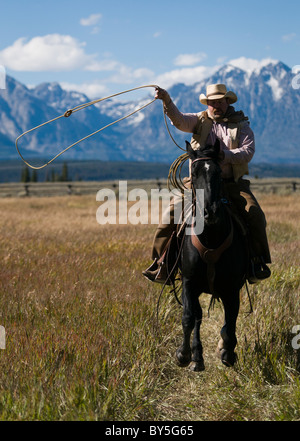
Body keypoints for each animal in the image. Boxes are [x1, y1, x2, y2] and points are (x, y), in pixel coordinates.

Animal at [176, 139, 246, 370]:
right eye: (194, 172)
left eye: (218, 172)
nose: (211, 212)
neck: (211, 236)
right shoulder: (189, 282)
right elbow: (188, 317)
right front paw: (183, 355)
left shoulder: (232, 287)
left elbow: (231, 320)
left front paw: (228, 353)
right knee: (197, 317)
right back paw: (197, 357)